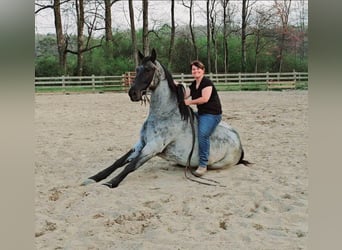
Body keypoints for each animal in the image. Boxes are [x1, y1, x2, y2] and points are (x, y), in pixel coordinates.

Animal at [81, 48, 250, 188]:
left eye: (149, 69)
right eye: (137, 69)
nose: (133, 93)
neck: (163, 115)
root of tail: (239, 143)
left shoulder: (152, 147)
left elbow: (131, 166)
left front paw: (110, 183)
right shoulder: (140, 143)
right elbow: (118, 161)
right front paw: (93, 178)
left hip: (216, 164)